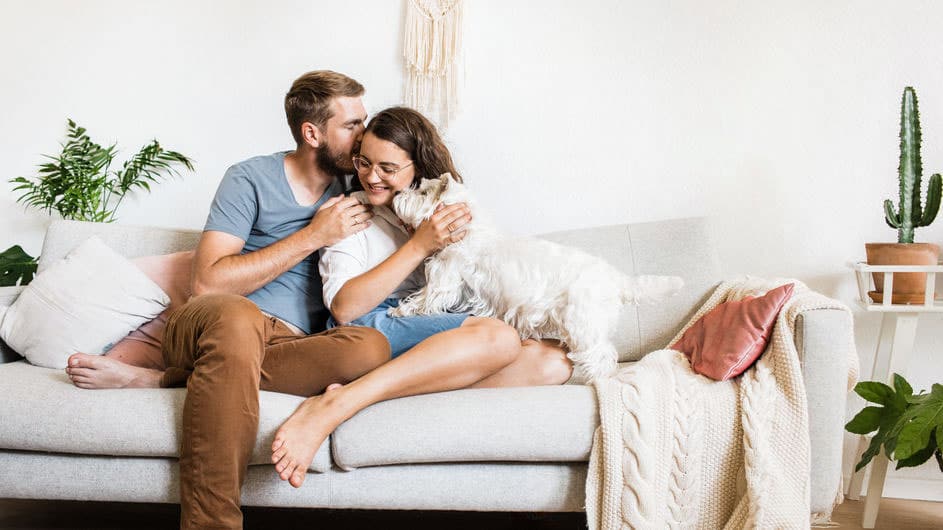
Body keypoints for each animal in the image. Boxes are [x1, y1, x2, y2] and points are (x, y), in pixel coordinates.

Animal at [388, 173, 684, 380]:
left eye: (422, 191)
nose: (398, 194)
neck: (467, 228)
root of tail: (616, 279)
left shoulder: (445, 277)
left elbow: (424, 297)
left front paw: (398, 311)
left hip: (583, 323)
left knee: (601, 355)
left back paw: (599, 381)